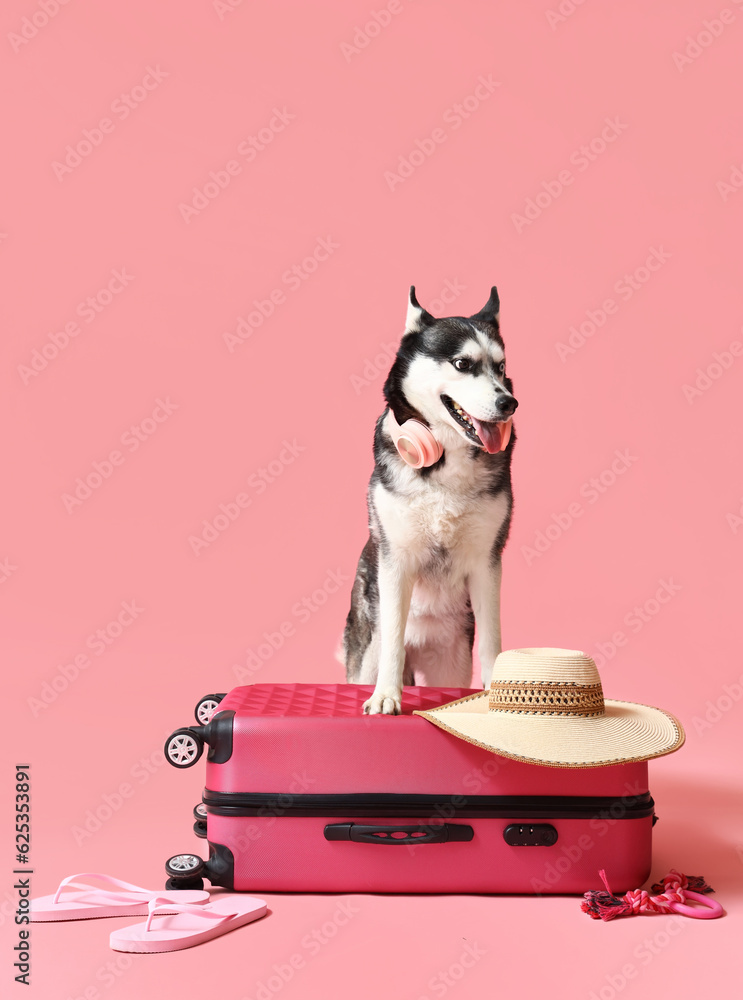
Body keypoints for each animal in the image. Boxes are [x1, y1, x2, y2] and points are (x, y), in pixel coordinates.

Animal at [338, 286, 516, 716]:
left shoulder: (487, 564)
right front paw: (386, 696)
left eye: (501, 367)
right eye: (462, 364)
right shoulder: (396, 560)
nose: (509, 403)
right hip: (365, 651)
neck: (443, 463)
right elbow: (392, 643)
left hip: (450, 658)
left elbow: (493, 639)